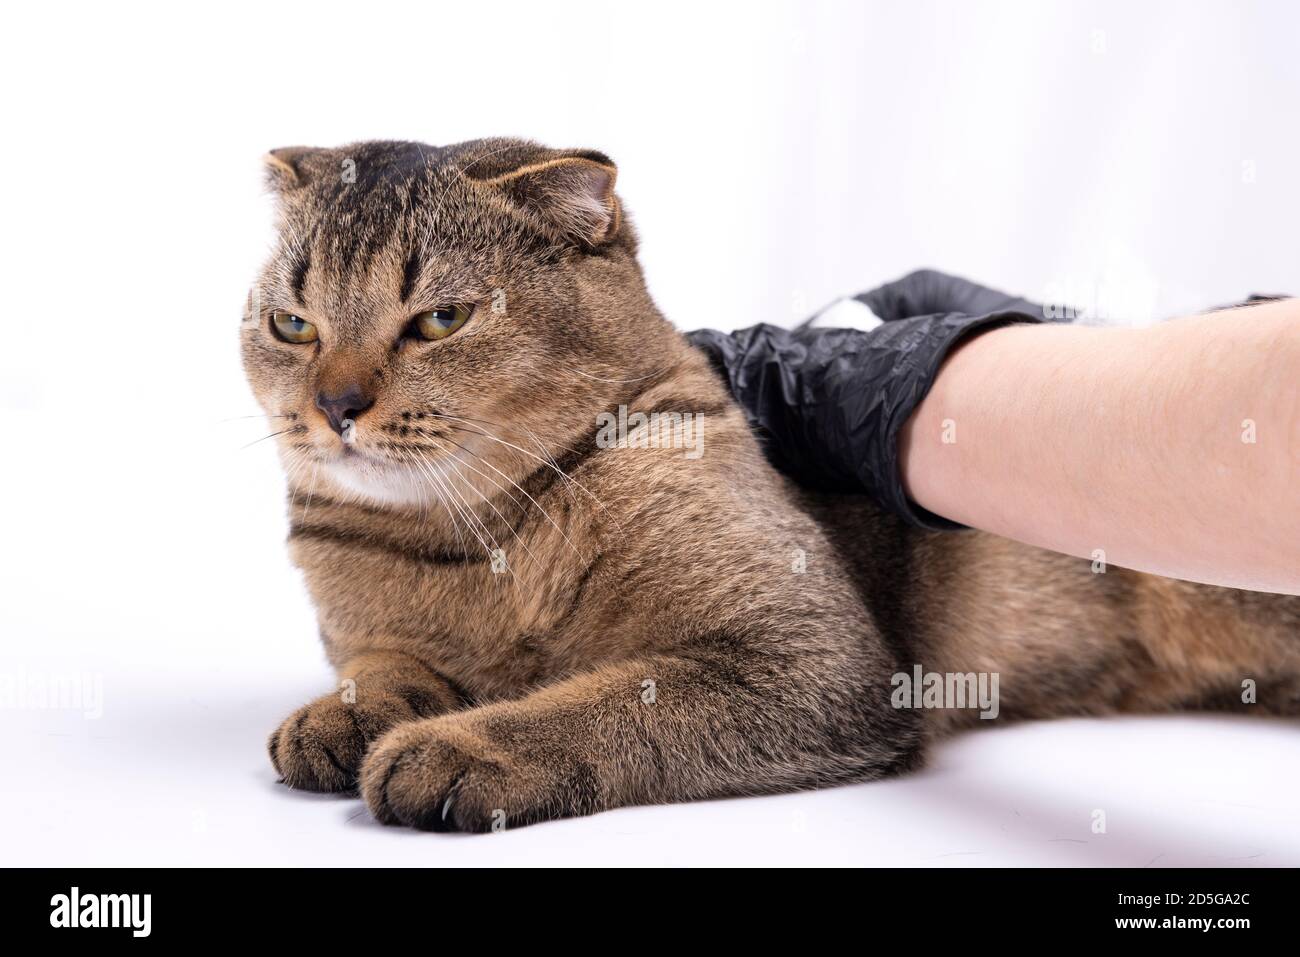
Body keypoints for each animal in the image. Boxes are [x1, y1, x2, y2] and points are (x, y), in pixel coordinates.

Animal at [244, 136, 1300, 832]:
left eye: (441, 319)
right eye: (292, 324)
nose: (336, 404)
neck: (476, 538)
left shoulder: (809, 657)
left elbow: (605, 700)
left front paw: (465, 744)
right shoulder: (365, 630)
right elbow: (381, 664)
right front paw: (345, 715)